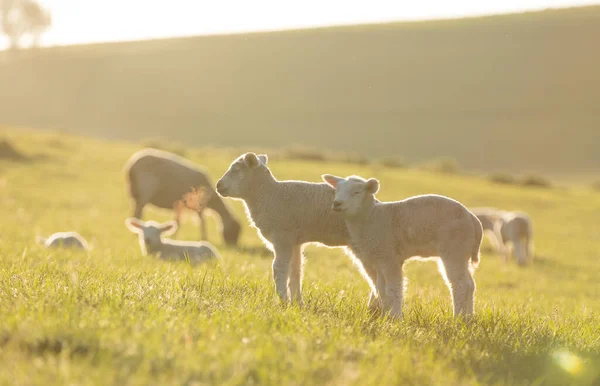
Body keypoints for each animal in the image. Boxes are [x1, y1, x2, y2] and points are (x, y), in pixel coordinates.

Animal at [216, 152, 350, 306]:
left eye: (236, 170)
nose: (218, 185)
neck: (268, 195)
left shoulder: (282, 236)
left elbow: (279, 268)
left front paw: (283, 301)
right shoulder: (295, 241)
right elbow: (296, 270)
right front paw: (297, 303)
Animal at [324, 175, 482, 320]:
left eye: (356, 192)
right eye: (336, 190)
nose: (337, 203)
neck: (371, 216)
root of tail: (473, 219)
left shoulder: (389, 257)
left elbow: (393, 289)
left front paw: (395, 318)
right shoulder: (378, 259)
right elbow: (381, 289)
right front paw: (385, 316)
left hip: (455, 249)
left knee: (461, 284)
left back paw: (459, 318)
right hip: (462, 252)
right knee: (470, 284)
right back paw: (468, 318)